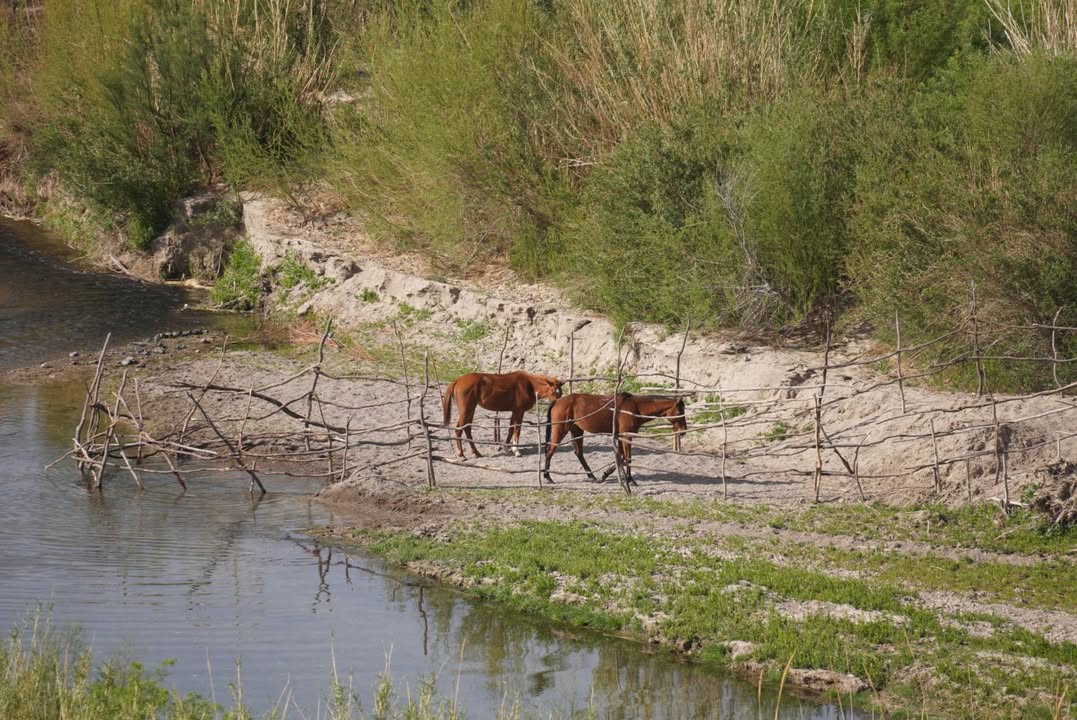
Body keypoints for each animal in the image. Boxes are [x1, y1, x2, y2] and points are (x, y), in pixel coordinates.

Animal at [543, 393, 687, 486]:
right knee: (550, 450)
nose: (683, 431)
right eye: (680, 412)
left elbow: (621, 457)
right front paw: (630, 480)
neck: (635, 408)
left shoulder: (621, 437)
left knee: (579, 453)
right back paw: (547, 477)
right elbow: (627, 458)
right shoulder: (626, 436)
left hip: (576, 430)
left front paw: (605, 474)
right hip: (561, 429)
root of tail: (557, 401)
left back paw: (593, 477)